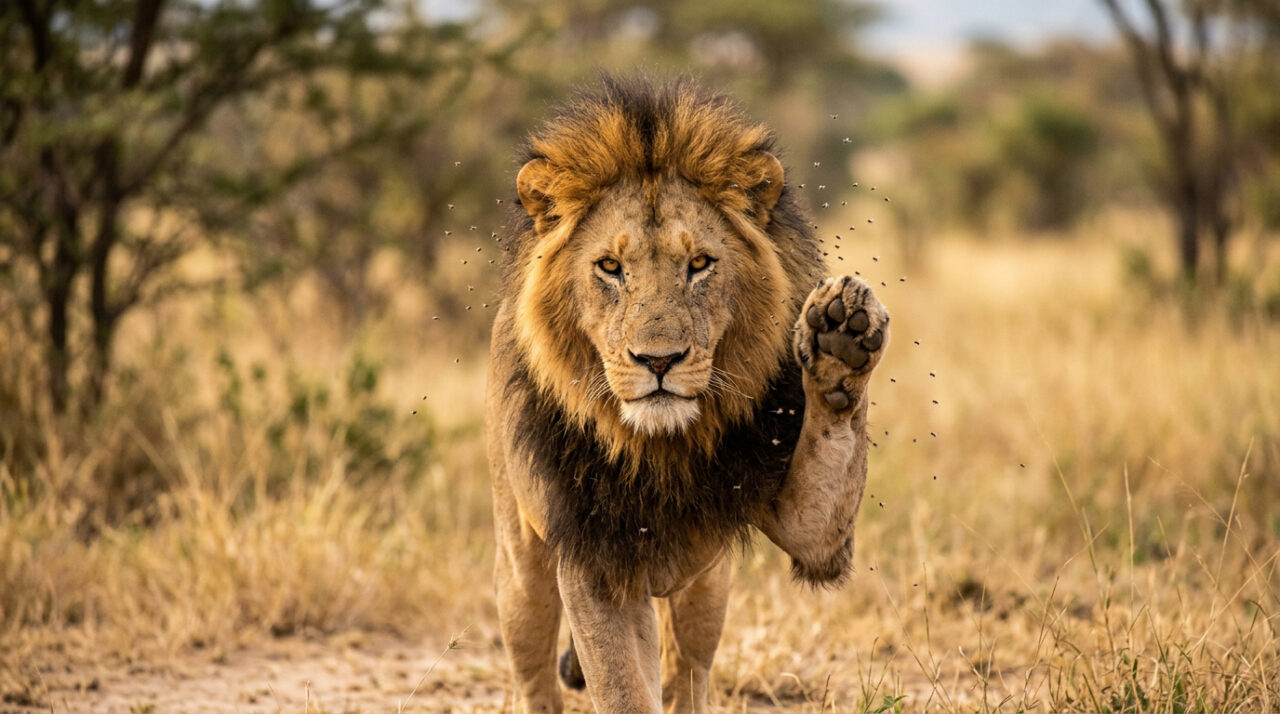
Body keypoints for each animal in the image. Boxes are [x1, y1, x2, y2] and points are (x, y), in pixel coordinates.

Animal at [485, 76, 889, 713]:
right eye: (610, 267)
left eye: (699, 263)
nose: (658, 361)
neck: (662, 445)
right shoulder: (593, 561)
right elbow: (622, 688)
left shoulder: (808, 527)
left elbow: (830, 454)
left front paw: (842, 338)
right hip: (520, 565)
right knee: (534, 669)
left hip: (707, 585)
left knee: (689, 668)